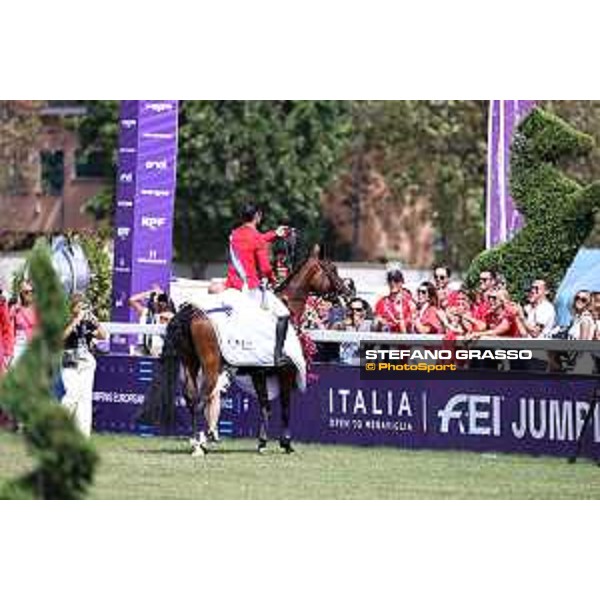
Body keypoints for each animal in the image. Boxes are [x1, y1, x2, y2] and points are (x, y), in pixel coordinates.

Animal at [138, 244, 350, 454]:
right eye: (332, 269)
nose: (347, 292)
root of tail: (191, 312)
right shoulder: (286, 372)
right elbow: (285, 407)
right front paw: (286, 443)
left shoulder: (259, 372)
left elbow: (265, 405)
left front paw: (262, 442)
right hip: (210, 365)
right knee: (202, 398)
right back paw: (201, 443)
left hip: (190, 362)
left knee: (191, 398)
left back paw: (195, 440)